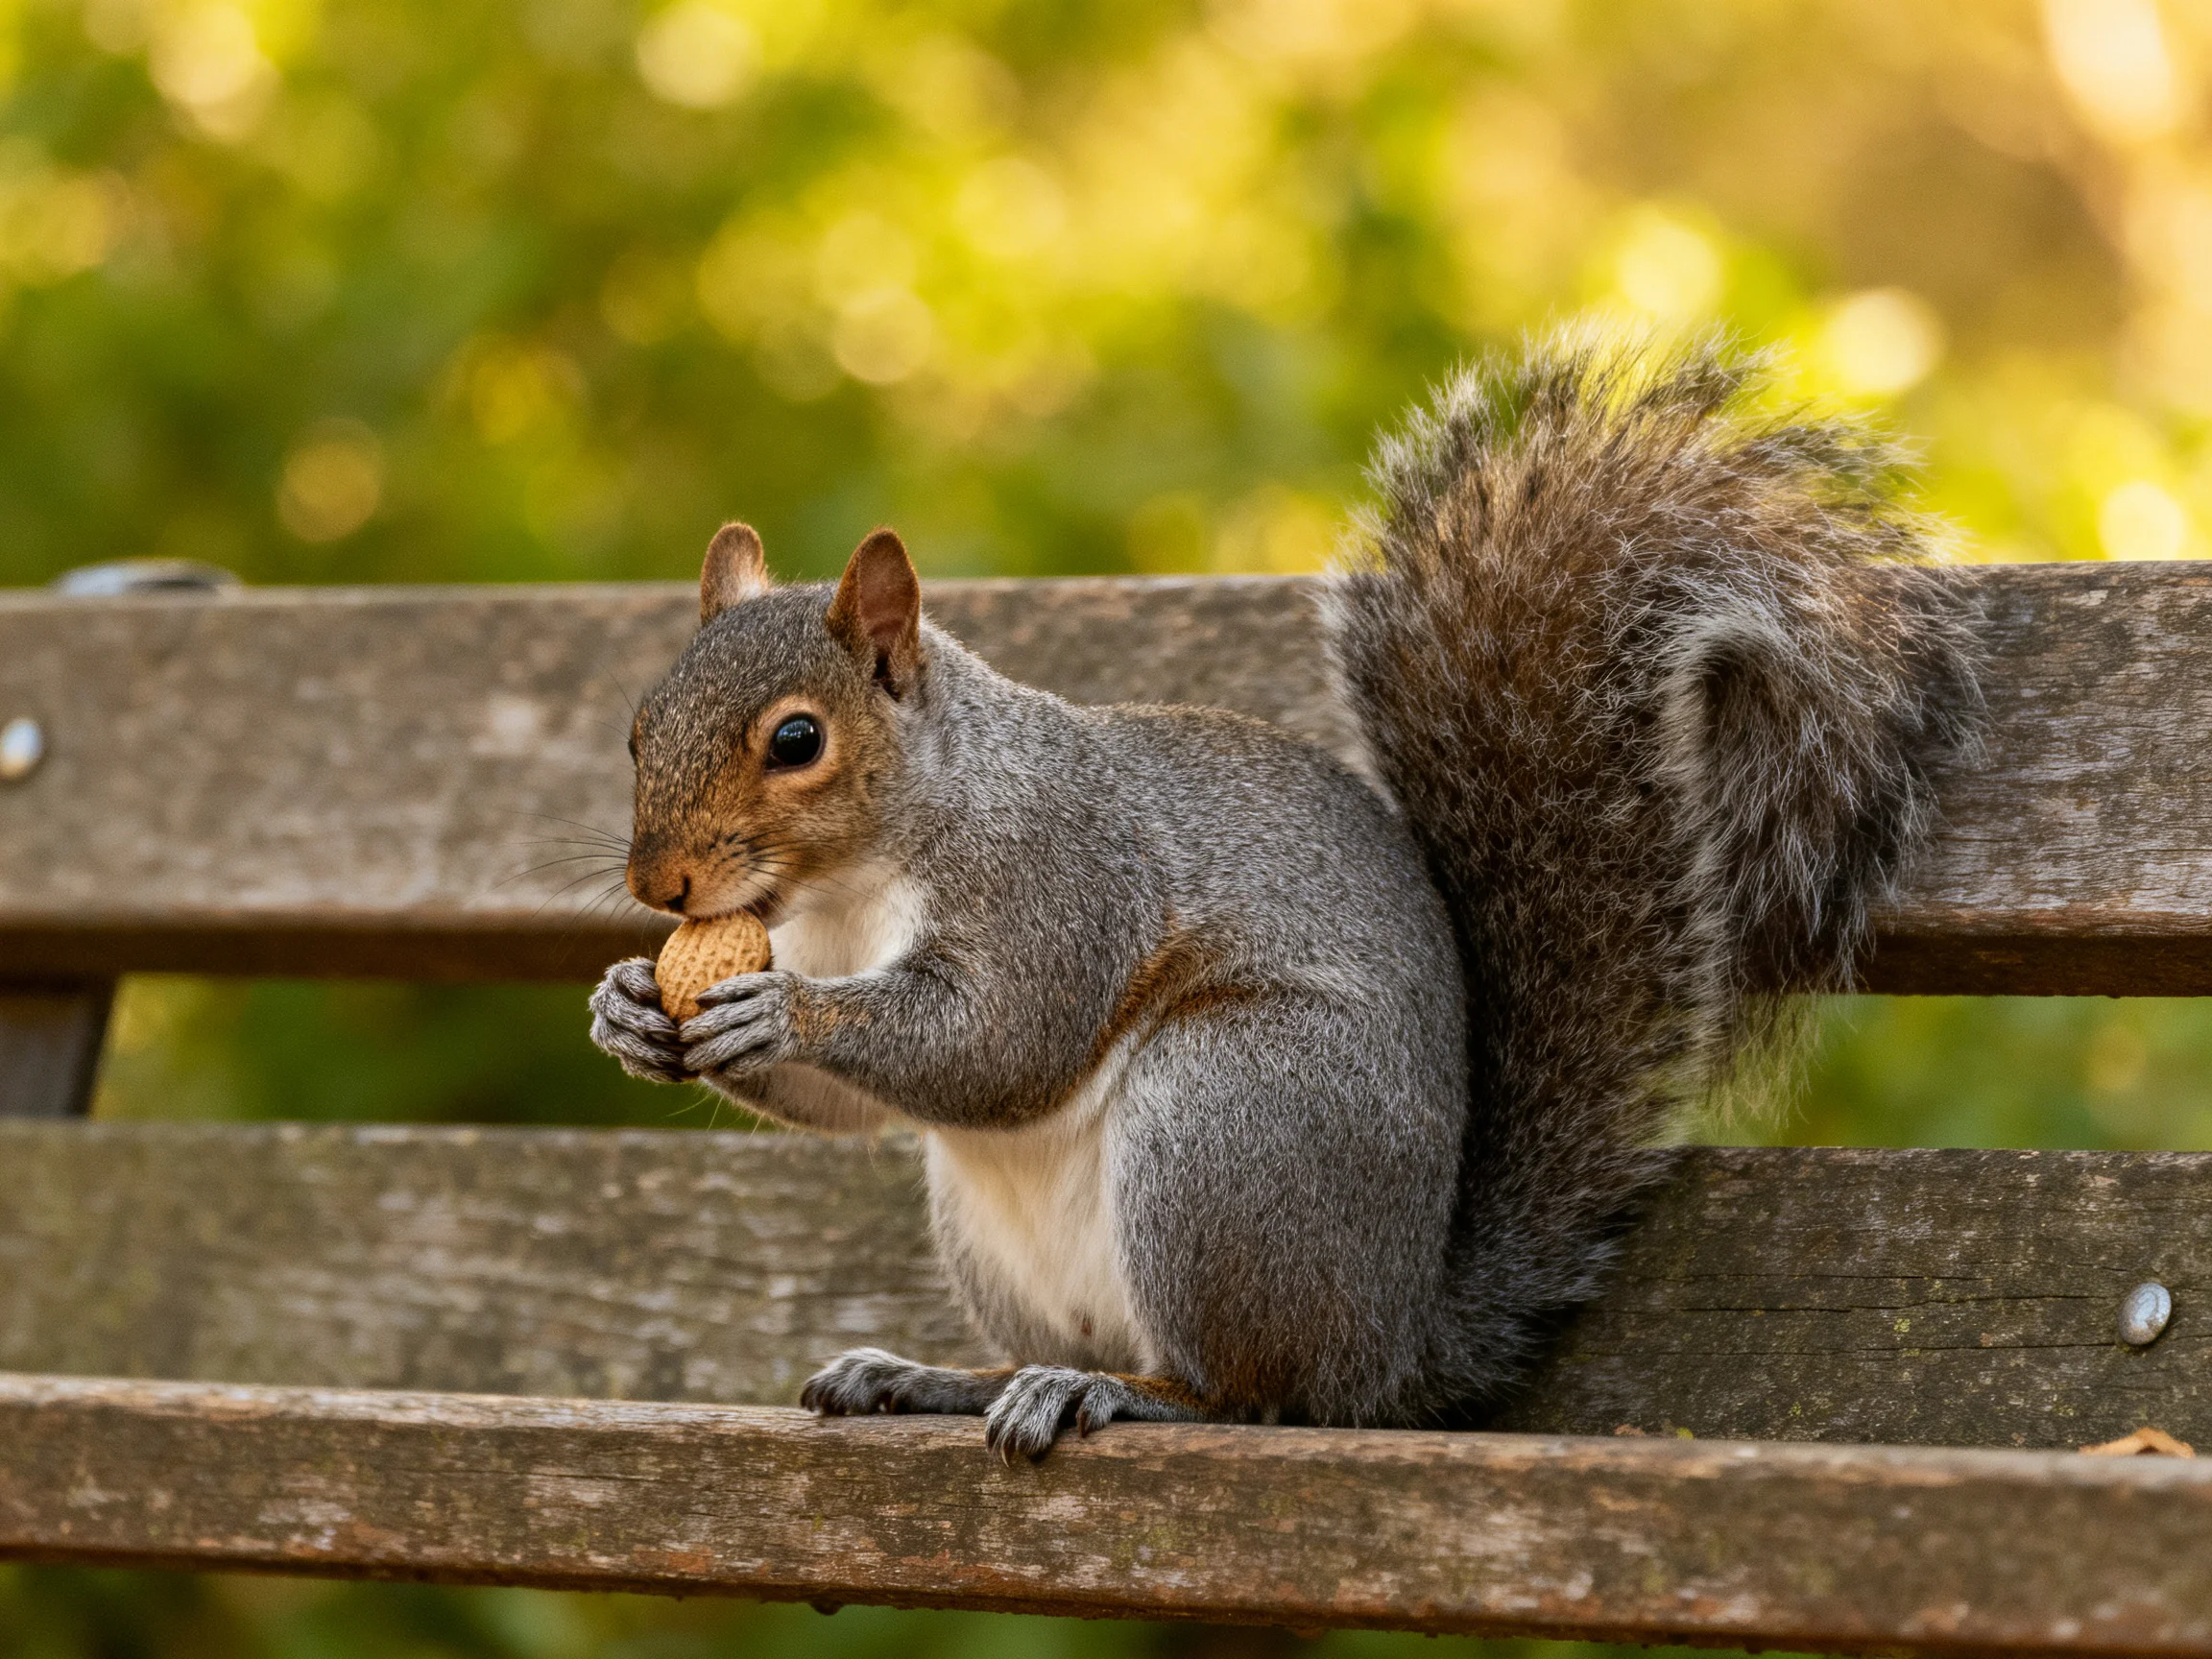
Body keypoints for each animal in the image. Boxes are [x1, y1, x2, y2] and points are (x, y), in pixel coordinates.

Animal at [588, 335, 1985, 1460]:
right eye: (638, 727)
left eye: (797, 741)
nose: (659, 882)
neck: (856, 884)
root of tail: (1393, 1340)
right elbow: (846, 1106)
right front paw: (628, 1008)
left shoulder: (1059, 879)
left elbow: (1003, 1041)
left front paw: (782, 1014)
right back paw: (939, 1376)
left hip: (1231, 1116)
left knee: (1255, 1392)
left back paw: (1125, 1397)